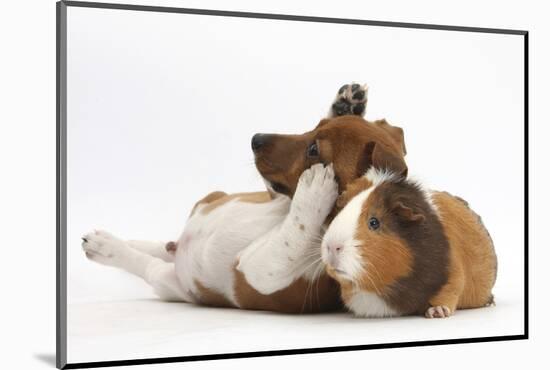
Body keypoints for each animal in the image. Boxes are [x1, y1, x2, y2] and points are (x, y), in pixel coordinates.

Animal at [81, 83, 410, 312]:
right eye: (313, 126)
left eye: (314, 149)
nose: (256, 139)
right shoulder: (274, 196)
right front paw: (346, 105)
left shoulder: (258, 269)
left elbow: (297, 229)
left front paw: (315, 189)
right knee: (158, 246)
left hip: (170, 281)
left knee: (147, 263)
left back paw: (106, 247)